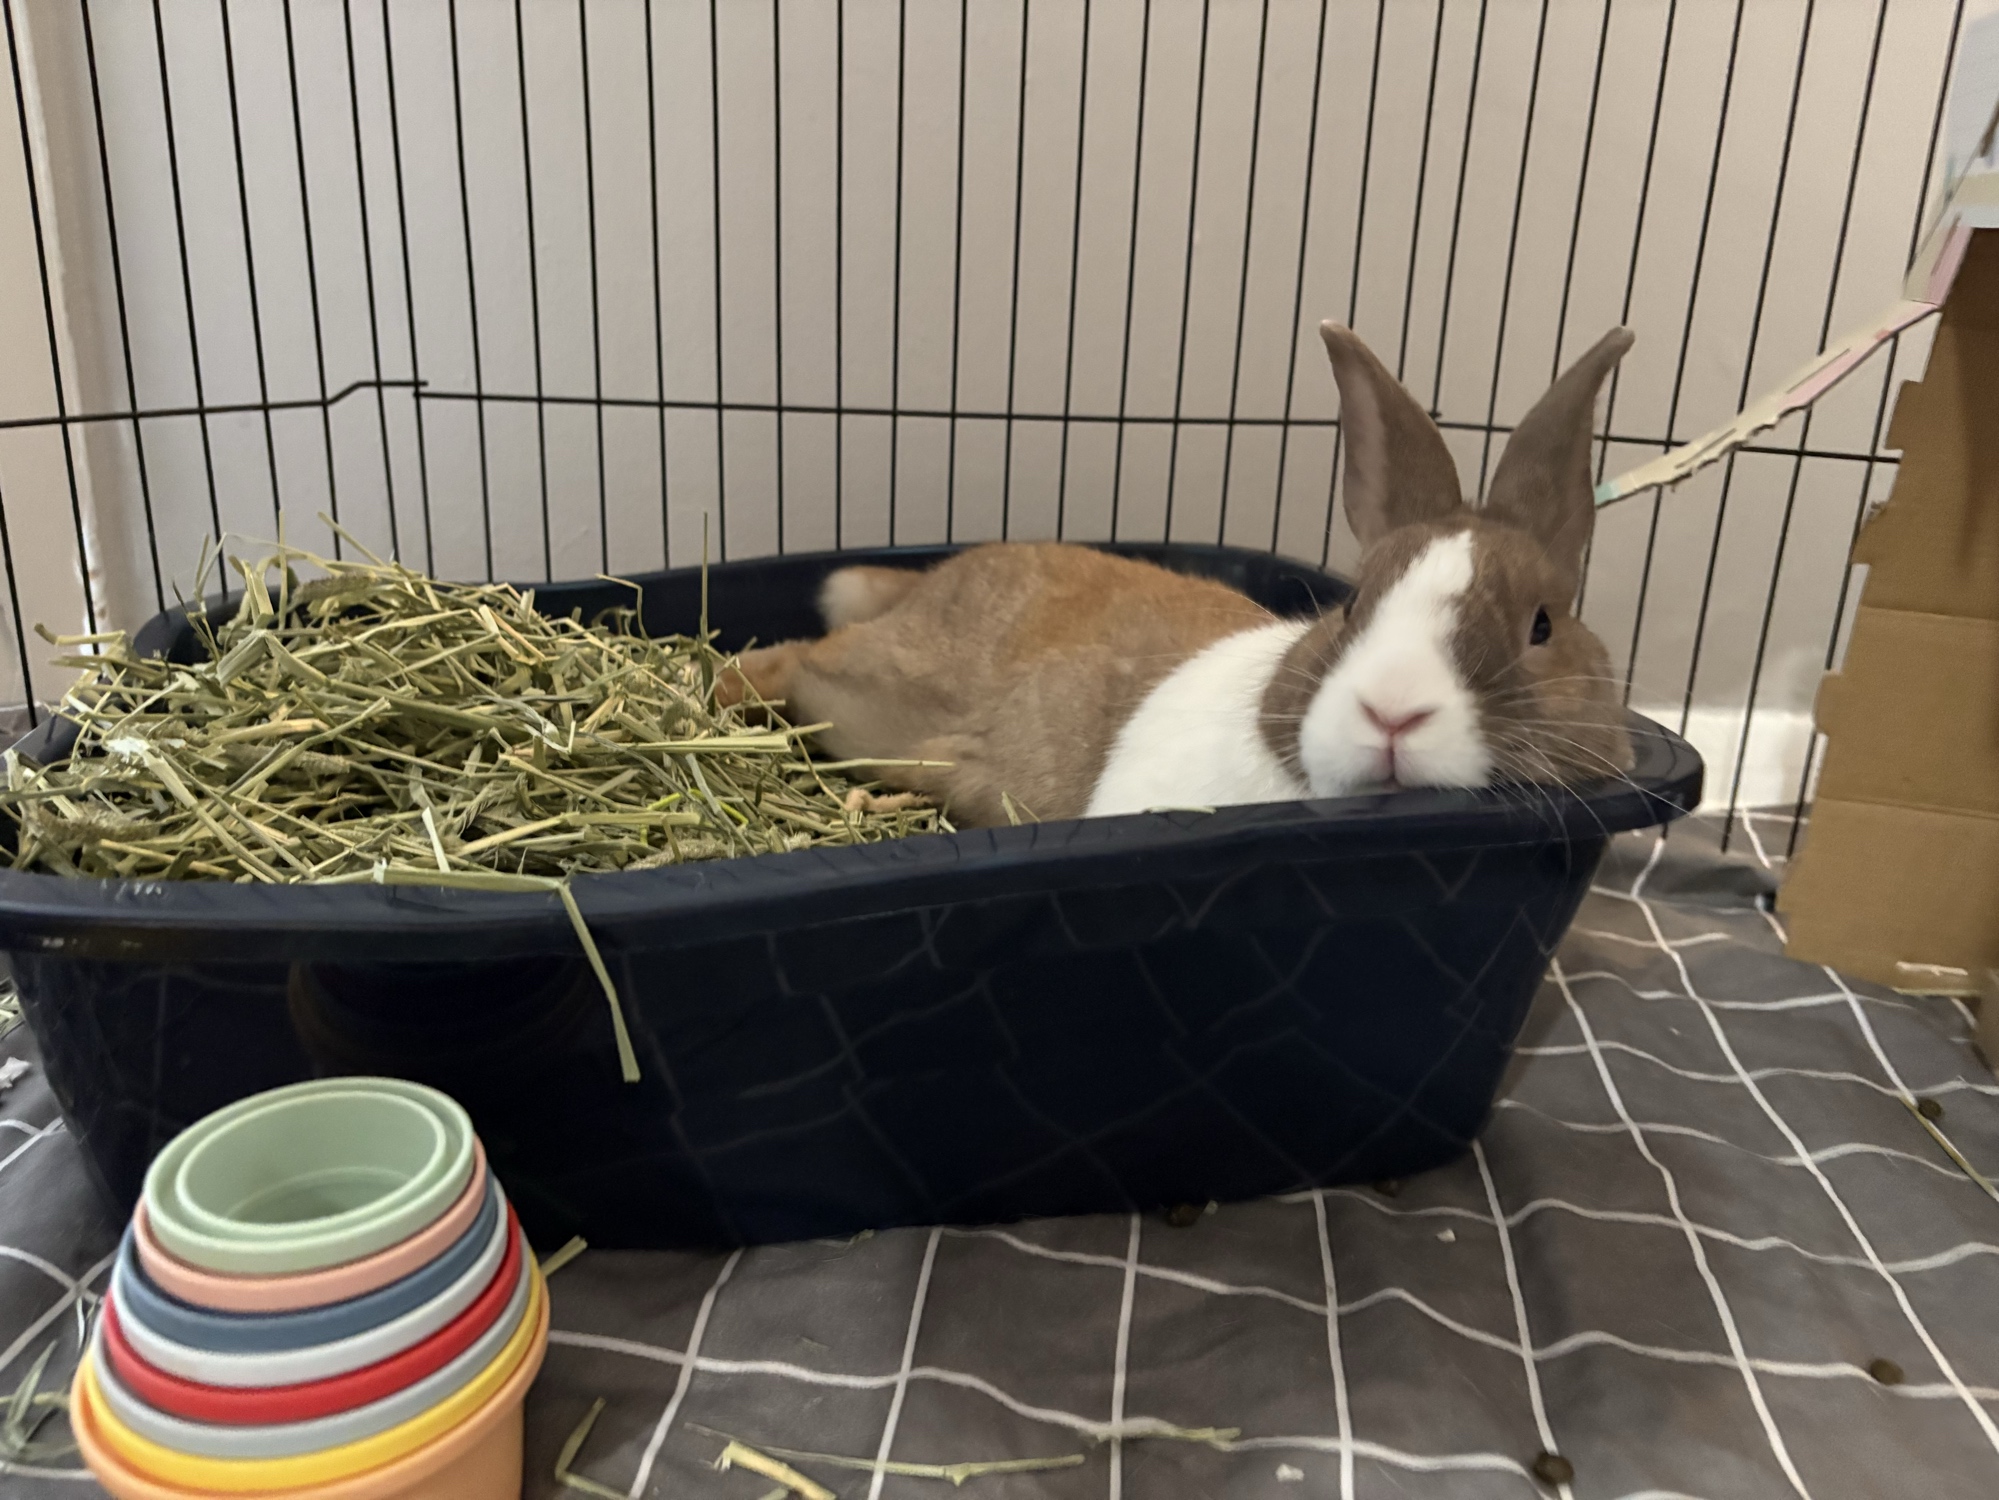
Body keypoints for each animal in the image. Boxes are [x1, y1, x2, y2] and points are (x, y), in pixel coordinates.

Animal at [721, 320, 1636, 829]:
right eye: (1352, 608)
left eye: (1541, 625)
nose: (1392, 712)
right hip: (872, 685)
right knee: (789, 659)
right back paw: (718, 690)